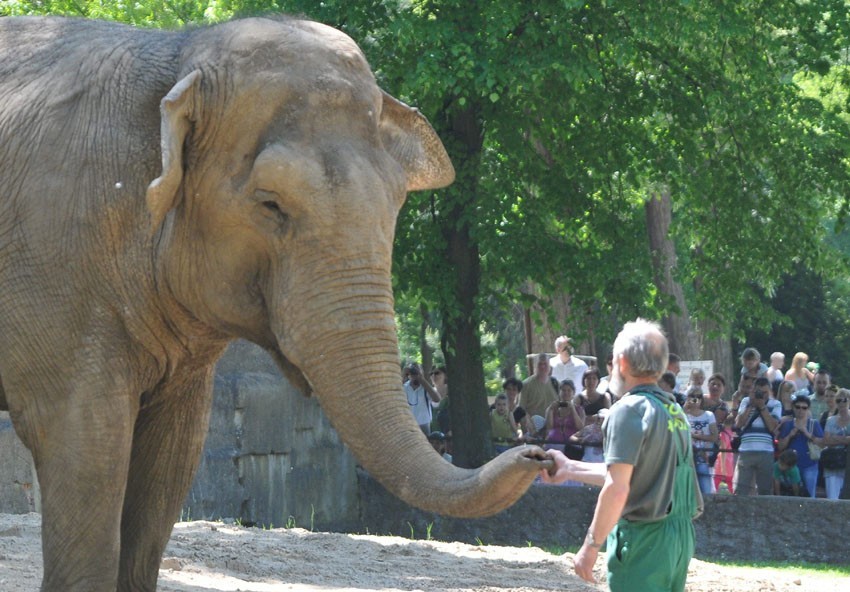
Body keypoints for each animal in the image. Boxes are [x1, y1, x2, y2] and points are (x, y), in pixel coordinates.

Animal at [0, 16, 548, 588]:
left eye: (398, 203)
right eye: (270, 204)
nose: (539, 454)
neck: (179, 54)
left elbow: (171, 457)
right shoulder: (51, 257)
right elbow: (85, 445)